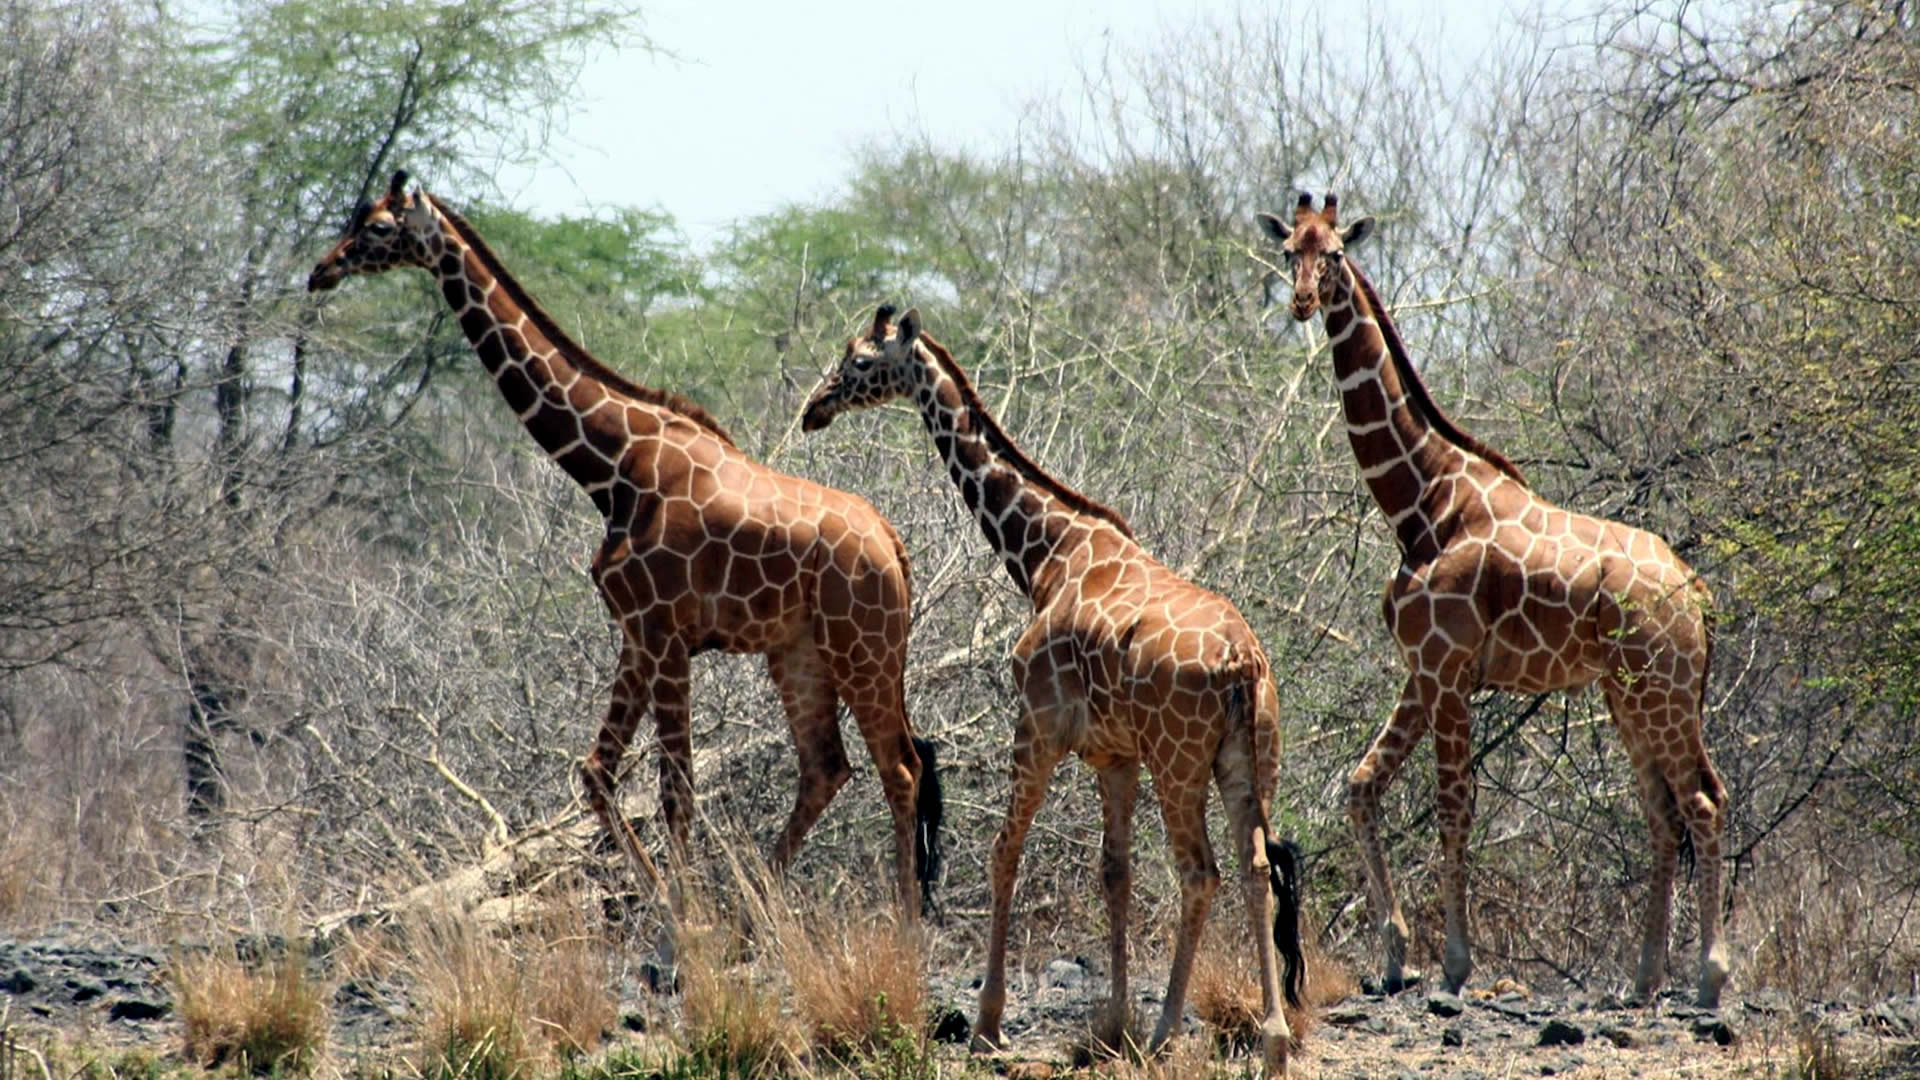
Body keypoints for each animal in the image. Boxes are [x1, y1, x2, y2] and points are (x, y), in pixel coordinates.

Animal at [307, 170, 944, 957]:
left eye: (377, 227)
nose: (320, 270)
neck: (612, 465)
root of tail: (894, 543)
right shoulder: (638, 633)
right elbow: (597, 773)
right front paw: (674, 905)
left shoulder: (666, 635)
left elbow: (675, 789)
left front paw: (684, 916)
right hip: (799, 652)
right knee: (828, 767)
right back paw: (752, 910)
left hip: (864, 648)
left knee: (900, 766)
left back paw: (901, 922)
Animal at [794, 303, 1305, 1068]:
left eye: (857, 361)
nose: (812, 409)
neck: (1045, 555)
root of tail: (1243, 665)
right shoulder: (1114, 755)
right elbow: (1115, 873)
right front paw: (1115, 1018)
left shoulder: (1036, 725)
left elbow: (1004, 851)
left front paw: (988, 1023)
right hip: (1249, 756)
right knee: (1254, 869)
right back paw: (1272, 1037)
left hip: (1179, 759)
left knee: (1200, 872)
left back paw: (1168, 1031)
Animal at [1251, 191, 1735, 999]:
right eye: (1289, 250)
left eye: (1337, 254)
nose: (1301, 302)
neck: (1418, 503)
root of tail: (1698, 594)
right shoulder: (1422, 671)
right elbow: (1361, 785)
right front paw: (1395, 955)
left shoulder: (1448, 671)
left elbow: (1452, 806)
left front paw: (1453, 962)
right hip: (1627, 695)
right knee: (1662, 812)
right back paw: (1641, 981)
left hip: (1662, 690)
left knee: (1702, 800)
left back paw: (1708, 977)